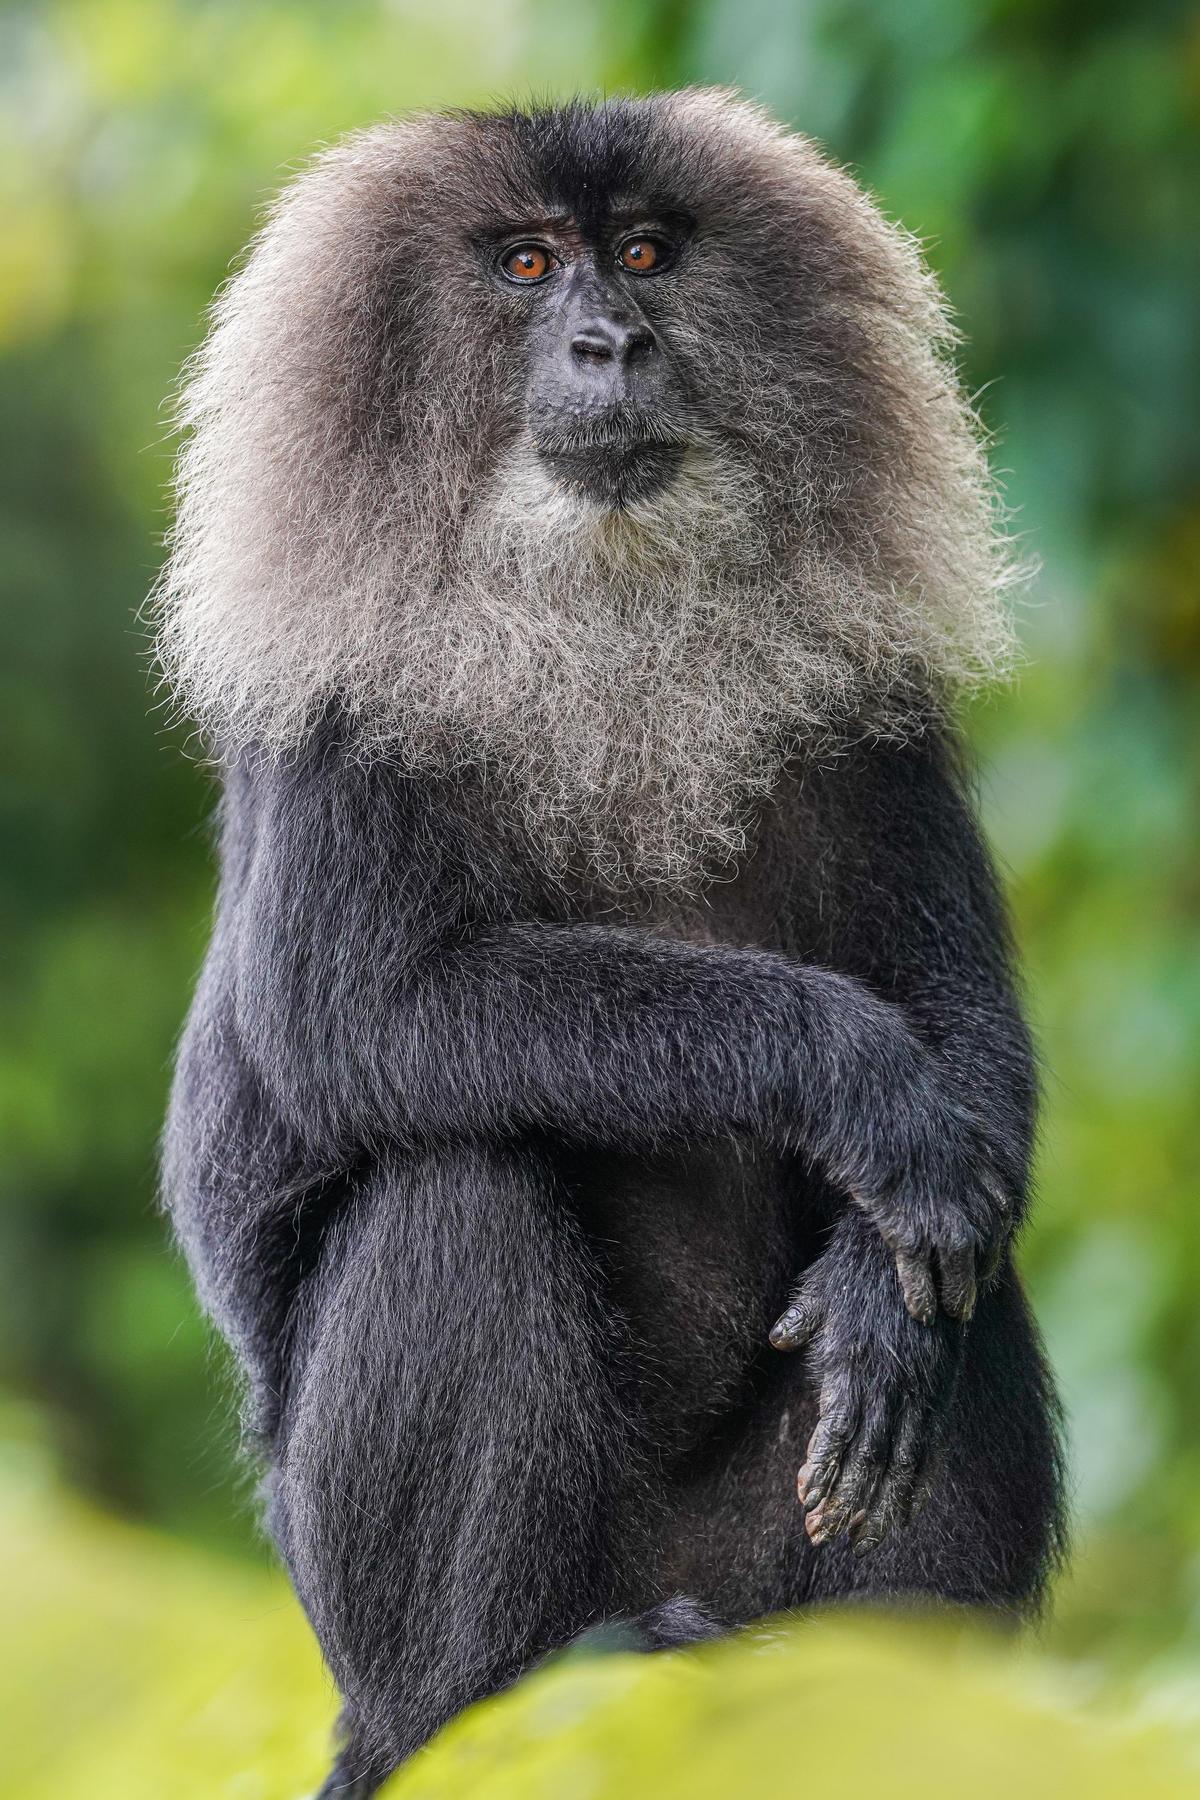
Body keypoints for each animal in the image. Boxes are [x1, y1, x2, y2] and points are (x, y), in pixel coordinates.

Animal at [156, 92, 1066, 1796]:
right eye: (525, 264)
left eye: (644, 254)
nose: (612, 342)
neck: (605, 596)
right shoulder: (336, 680)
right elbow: (352, 1021)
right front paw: (859, 1080)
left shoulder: (876, 700)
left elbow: (968, 1043)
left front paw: (876, 1294)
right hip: (376, 1610)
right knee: (464, 1183)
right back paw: (498, 1688)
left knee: (964, 1262)